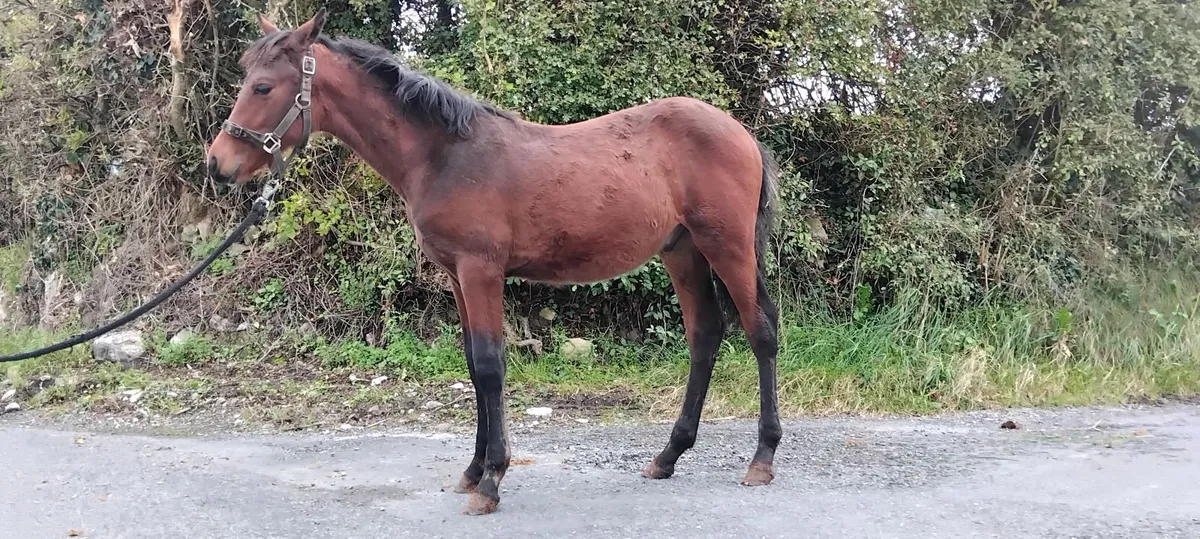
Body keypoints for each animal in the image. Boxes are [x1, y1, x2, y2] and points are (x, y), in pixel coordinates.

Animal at [206, 9, 782, 515]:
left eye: (263, 87)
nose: (217, 164)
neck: (443, 155)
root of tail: (742, 133)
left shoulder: (481, 270)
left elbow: (488, 365)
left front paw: (491, 482)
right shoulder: (457, 276)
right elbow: (471, 363)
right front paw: (472, 471)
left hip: (727, 246)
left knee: (761, 332)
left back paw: (762, 459)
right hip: (682, 250)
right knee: (705, 334)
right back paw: (667, 457)